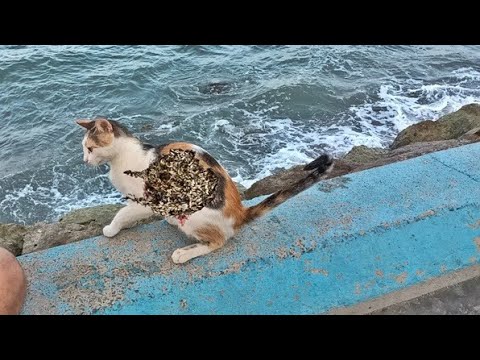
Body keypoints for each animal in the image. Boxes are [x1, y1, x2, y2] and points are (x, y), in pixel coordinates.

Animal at [78, 118, 334, 262]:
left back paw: (184, 253)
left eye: (90, 148)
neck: (122, 158)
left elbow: (122, 213)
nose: (84, 161)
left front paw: (111, 229)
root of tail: (240, 212)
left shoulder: (145, 200)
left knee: (219, 241)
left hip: (196, 215)